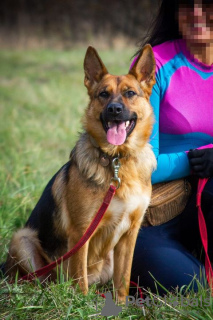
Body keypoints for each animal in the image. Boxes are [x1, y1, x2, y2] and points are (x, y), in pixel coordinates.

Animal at [5, 45, 156, 302]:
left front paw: (121, 306)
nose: (114, 109)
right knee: (43, 280)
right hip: (22, 239)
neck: (117, 161)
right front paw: (82, 304)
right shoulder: (81, 233)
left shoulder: (129, 236)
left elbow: (123, 281)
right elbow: (80, 278)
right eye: (103, 94)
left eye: (130, 93)